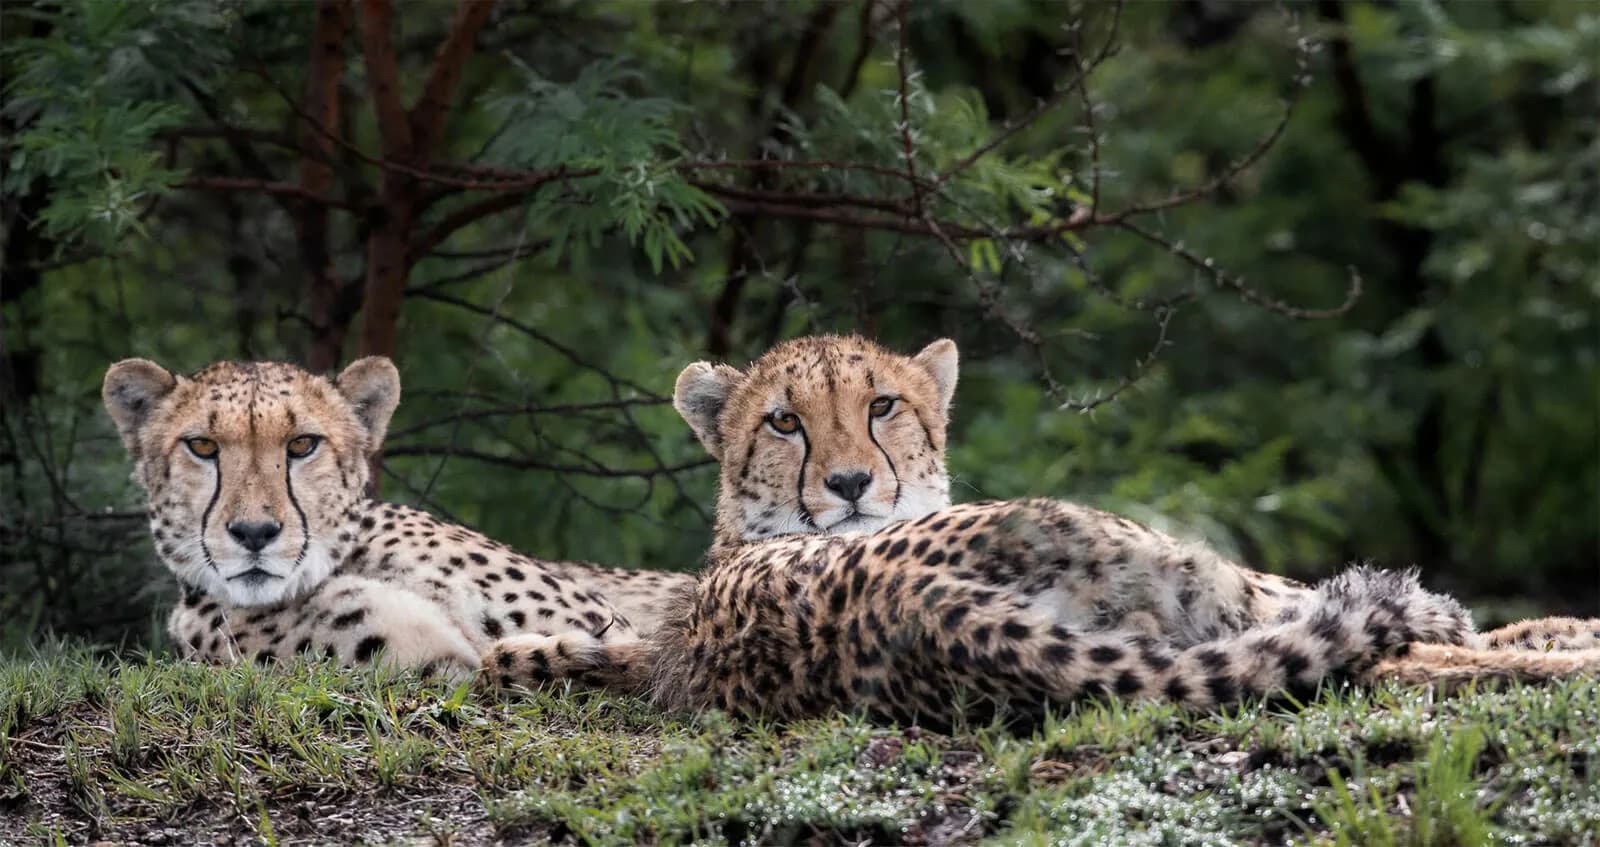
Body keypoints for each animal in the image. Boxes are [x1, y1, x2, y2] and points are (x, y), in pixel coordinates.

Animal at [102, 356, 693, 679]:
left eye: (303, 445)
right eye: (202, 446)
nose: (254, 533)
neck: (341, 564)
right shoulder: (435, 671)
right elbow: (503, 664)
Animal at [485, 335, 1600, 722]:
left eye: (882, 405)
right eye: (784, 422)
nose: (848, 483)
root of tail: (895, 606)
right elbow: (1441, 624)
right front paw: (1537, 630)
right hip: (1175, 571)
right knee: (1401, 653)